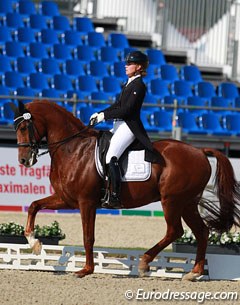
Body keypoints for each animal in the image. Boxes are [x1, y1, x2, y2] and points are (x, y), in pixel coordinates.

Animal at [11, 100, 240, 280]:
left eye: (23, 127)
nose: (23, 160)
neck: (73, 149)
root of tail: (200, 151)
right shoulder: (66, 199)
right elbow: (34, 205)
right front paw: (34, 243)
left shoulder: (86, 202)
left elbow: (88, 236)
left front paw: (86, 269)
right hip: (188, 203)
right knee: (201, 232)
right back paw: (195, 272)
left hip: (172, 200)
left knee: (175, 231)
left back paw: (145, 262)